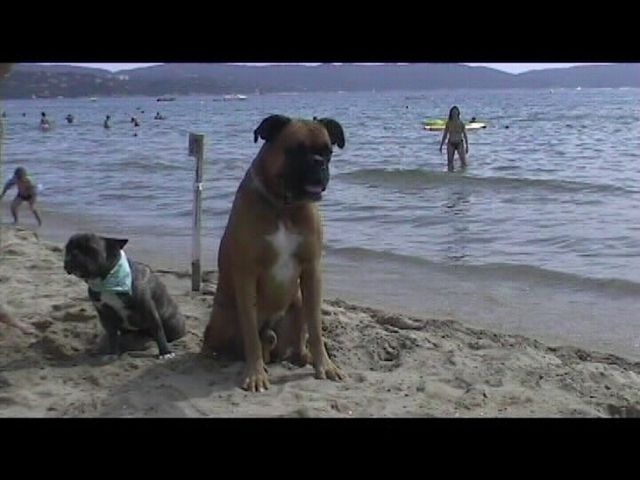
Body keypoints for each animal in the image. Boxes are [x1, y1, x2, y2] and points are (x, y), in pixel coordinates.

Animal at [204, 114, 344, 392]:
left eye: (328, 151)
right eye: (296, 150)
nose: (318, 162)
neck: (283, 207)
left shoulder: (311, 270)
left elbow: (315, 327)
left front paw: (324, 364)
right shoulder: (246, 273)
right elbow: (250, 333)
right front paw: (255, 373)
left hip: (297, 303)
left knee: (294, 342)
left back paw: (302, 356)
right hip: (221, 319)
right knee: (223, 342)